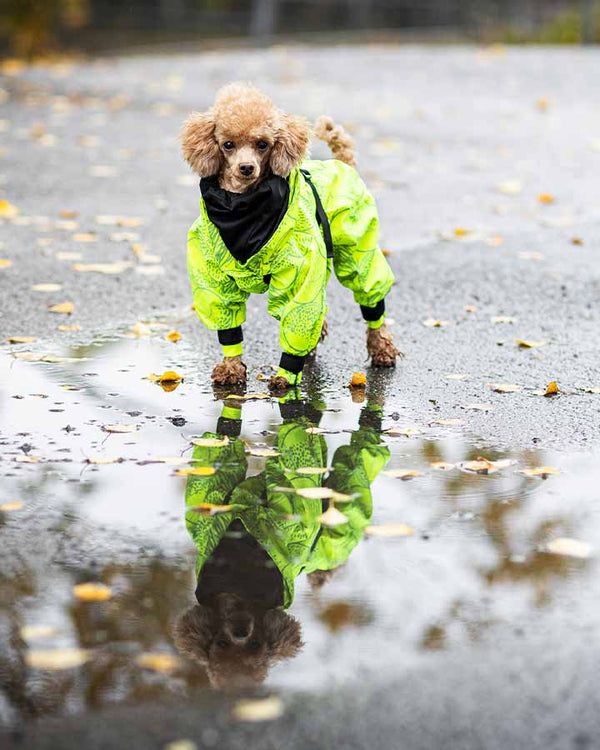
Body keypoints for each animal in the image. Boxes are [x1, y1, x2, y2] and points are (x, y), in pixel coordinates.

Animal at [180, 83, 400, 394]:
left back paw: (382, 349)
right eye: (228, 144)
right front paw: (231, 368)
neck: (244, 212)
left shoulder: (299, 266)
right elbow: (227, 320)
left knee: (370, 298)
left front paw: (286, 375)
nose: (246, 168)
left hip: (358, 250)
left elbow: (297, 312)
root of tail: (344, 164)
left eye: (262, 144)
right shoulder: (214, 277)